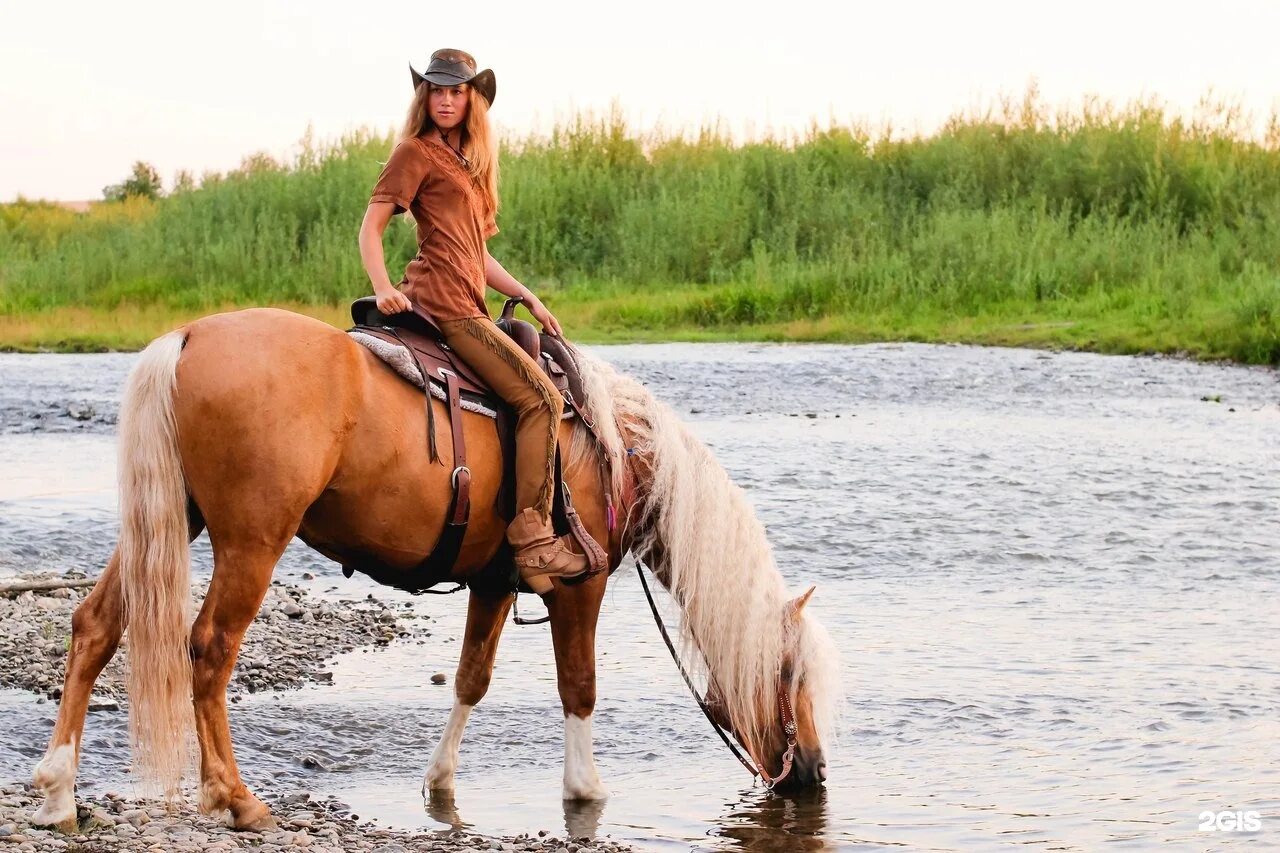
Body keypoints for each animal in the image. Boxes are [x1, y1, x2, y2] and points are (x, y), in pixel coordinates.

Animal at [27, 308, 839, 824]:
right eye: (790, 672)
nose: (814, 771)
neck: (613, 451)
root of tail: (188, 336)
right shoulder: (580, 586)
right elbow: (578, 688)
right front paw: (586, 791)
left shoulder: (495, 582)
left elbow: (470, 678)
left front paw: (439, 783)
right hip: (252, 542)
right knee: (210, 649)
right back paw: (236, 798)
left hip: (171, 518)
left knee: (94, 625)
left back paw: (59, 790)